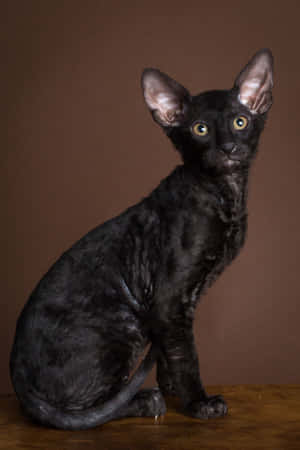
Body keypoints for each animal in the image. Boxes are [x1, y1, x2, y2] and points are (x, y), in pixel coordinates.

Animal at [9, 48, 274, 428]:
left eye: (241, 121)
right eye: (200, 129)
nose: (228, 147)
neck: (225, 194)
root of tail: (19, 382)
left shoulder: (177, 307)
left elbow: (171, 354)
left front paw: (175, 391)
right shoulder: (169, 300)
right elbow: (186, 356)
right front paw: (198, 403)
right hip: (123, 327)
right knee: (88, 410)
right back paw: (146, 401)